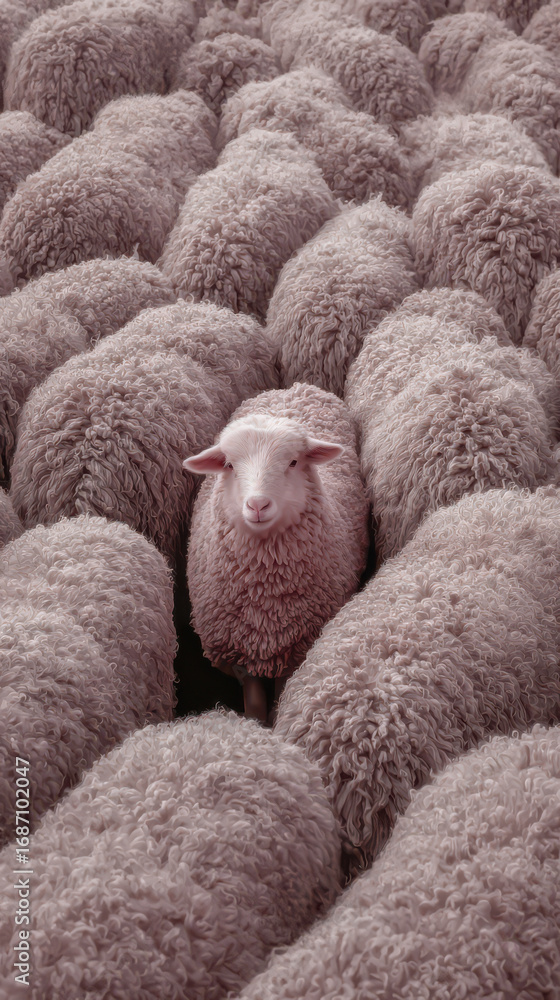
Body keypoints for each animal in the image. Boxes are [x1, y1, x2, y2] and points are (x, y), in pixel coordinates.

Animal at [184, 381, 370, 721]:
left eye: (293, 462)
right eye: (229, 465)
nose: (258, 505)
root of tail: (293, 388)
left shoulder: (294, 651)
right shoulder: (241, 657)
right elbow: (255, 706)